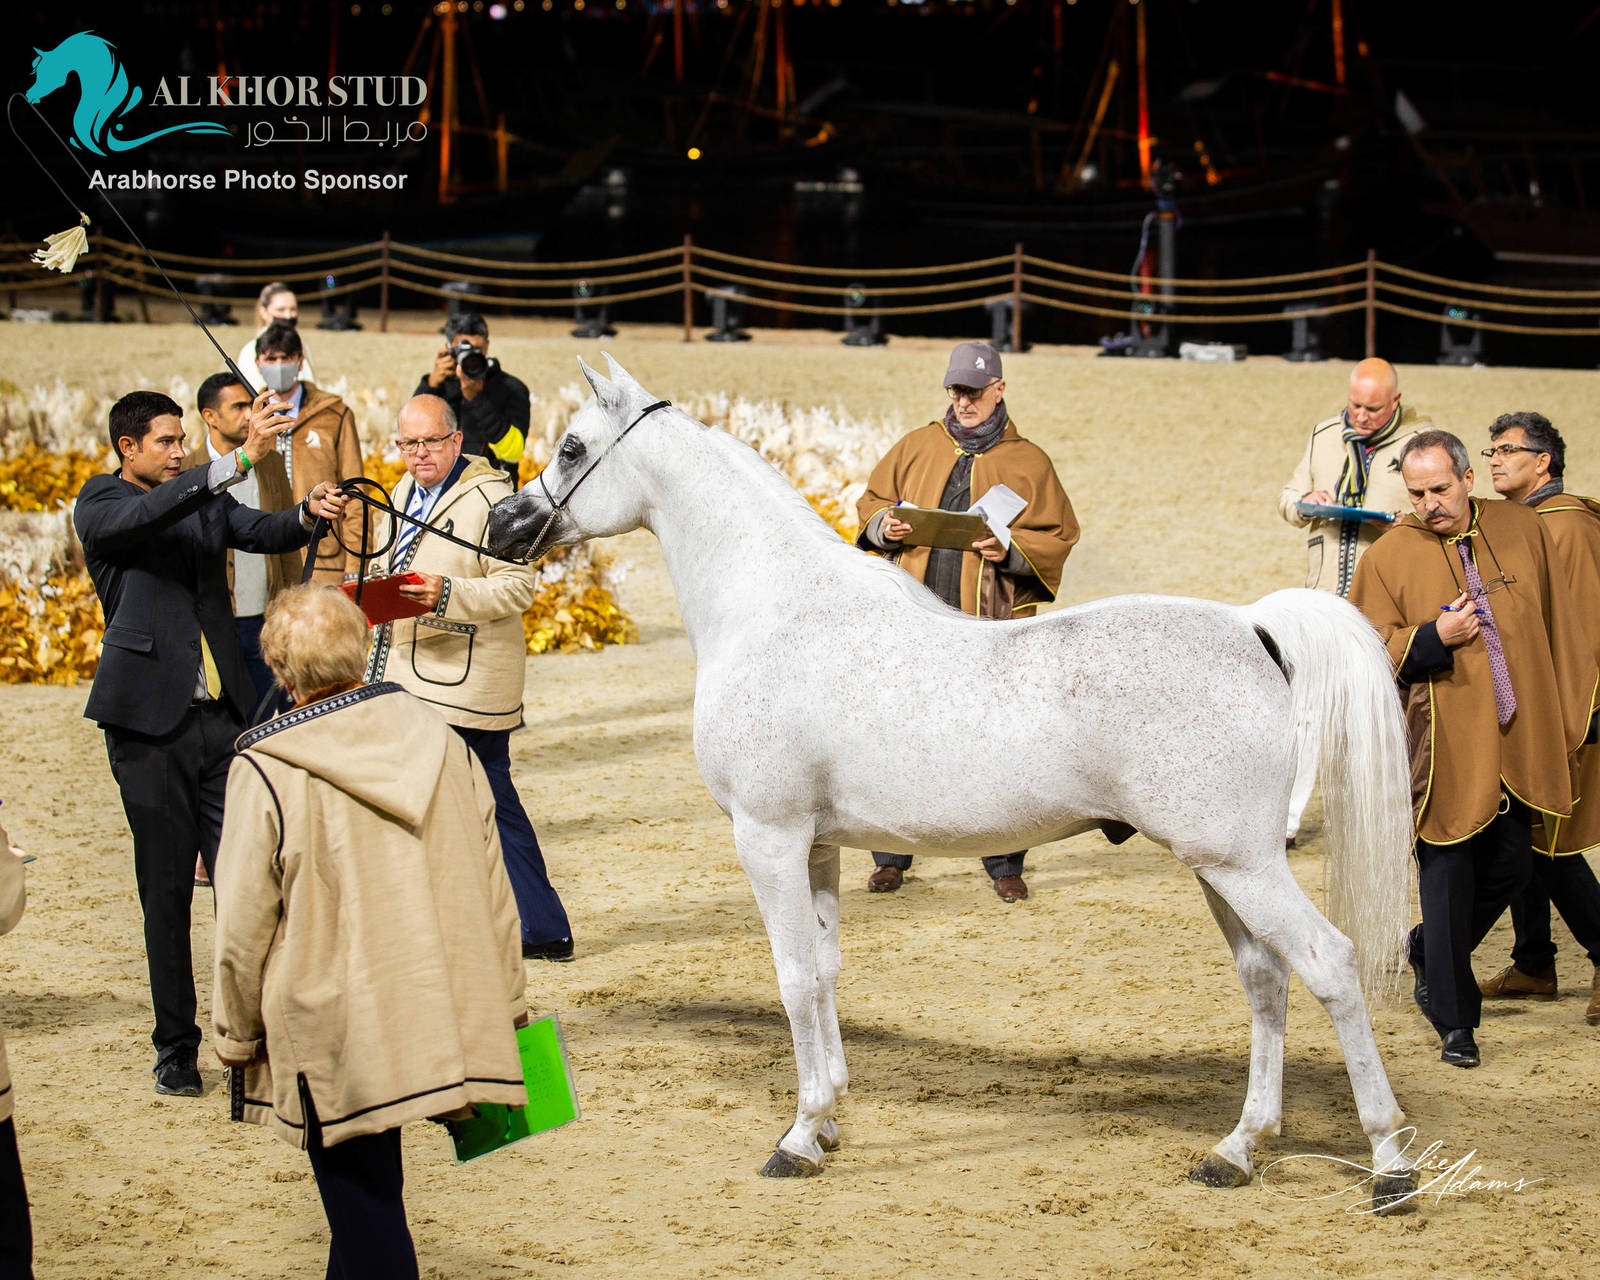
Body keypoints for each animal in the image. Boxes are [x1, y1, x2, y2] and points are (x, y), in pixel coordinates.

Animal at [486, 355, 1421, 1212]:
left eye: (572, 447)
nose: (503, 523)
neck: (776, 609)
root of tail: (1251, 625)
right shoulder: (818, 846)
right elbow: (826, 970)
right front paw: (830, 1121)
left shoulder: (768, 837)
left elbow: (793, 978)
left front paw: (797, 1135)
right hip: (1219, 866)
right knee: (1266, 979)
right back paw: (1237, 1149)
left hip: (1242, 865)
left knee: (1328, 965)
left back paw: (1389, 1165)